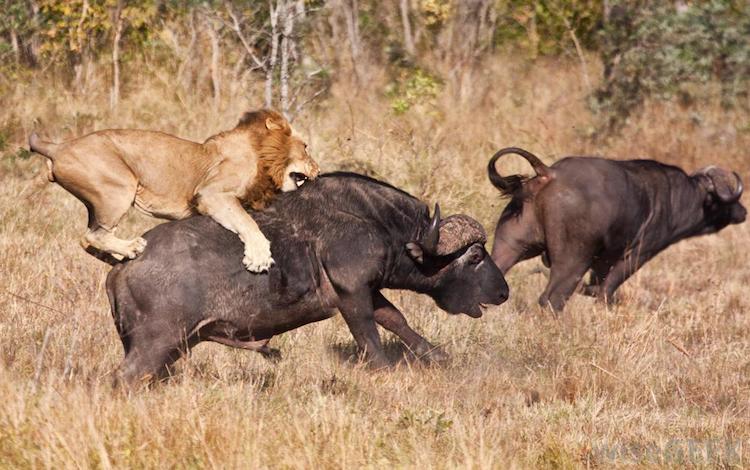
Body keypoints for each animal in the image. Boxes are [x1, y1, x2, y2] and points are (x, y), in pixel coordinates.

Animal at [29, 108, 320, 272]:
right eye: (305, 147)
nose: (318, 168)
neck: (263, 156)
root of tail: (59, 146)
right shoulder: (211, 194)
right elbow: (247, 222)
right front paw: (259, 257)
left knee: (86, 239)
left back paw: (121, 257)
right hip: (119, 188)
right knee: (93, 235)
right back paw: (132, 247)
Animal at [107, 173, 512, 386]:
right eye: (476, 256)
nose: (503, 292)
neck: (379, 224)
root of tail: (121, 267)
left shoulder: (369, 291)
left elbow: (396, 319)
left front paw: (437, 355)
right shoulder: (353, 295)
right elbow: (369, 336)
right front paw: (384, 370)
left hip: (172, 347)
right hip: (155, 344)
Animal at [488, 148, 748, 312]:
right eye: (727, 197)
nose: (743, 212)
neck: (678, 198)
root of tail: (549, 174)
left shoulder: (602, 261)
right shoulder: (638, 255)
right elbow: (607, 289)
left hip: (510, 246)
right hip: (573, 260)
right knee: (552, 299)